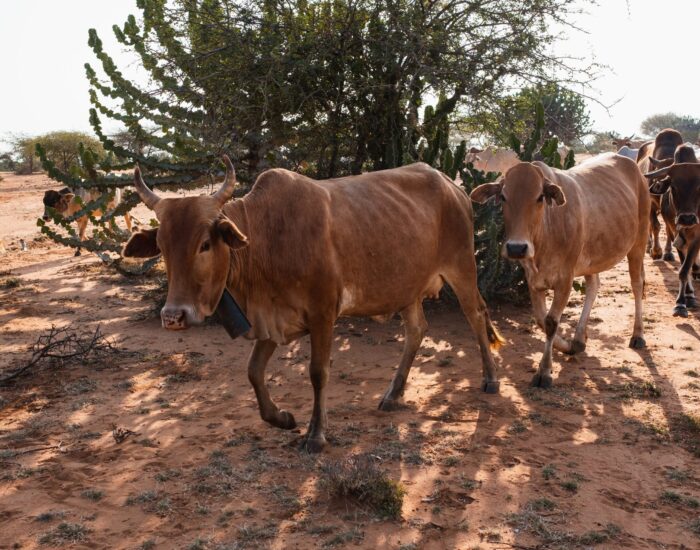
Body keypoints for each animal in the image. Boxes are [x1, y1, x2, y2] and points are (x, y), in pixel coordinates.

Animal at [121, 157, 504, 453]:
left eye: (204, 244)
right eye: (162, 246)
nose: (174, 316)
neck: (266, 238)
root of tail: (453, 187)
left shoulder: (322, 314)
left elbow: (318, 373)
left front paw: (316, 435)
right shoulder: (272, 319)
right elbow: (253, 372)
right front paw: (282, 418)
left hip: (462, 268)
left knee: (476, 316)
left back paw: (490, 380)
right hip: (406, 287)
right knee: (417, 330)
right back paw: (392, 395)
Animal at [470, 153, 649, 388]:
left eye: (539, 197)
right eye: (503, 196)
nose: (517, 247)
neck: (546, 232)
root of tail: (633, 166)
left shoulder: (565, 279)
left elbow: (551, 322)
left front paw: (544, 371)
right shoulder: (533, 279)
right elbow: (541, 320)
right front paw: (569, 346)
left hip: (638, 244)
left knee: (637, 286)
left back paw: (638, 335)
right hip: (592, 257)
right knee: (593, 286)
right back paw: (579, 338)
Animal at [637, 129, 684, 261]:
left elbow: (668, 229)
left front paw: (668, 252)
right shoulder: (651, 204)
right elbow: (655, 226)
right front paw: (656, 251)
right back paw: (648, 246)